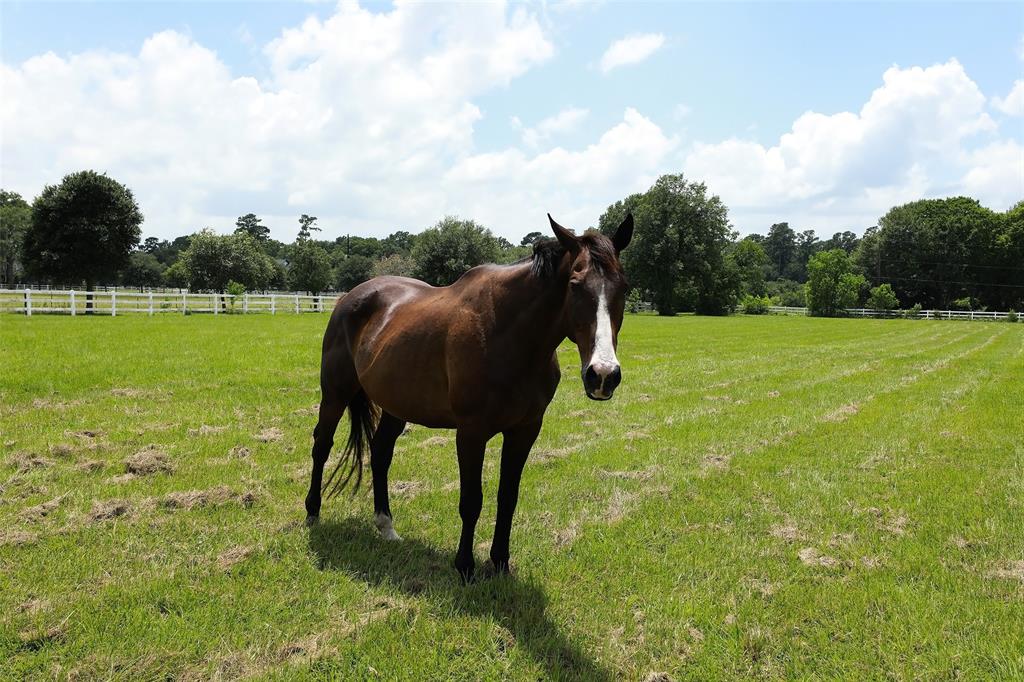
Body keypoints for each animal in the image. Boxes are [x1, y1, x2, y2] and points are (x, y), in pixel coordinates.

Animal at [303, 209, 630, 577]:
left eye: (624, 288)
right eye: (575, 285)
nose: (603, 375)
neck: (509, 336)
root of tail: (349, 297)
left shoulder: (525, 430)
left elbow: (508, 497)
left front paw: (500, 562)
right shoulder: (471, 432)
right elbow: (471, 501)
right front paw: (465, 566)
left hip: (396, 407)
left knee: (380, 453)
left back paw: (386, 526)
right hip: (335, 394)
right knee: (322, 446)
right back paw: (312, 513)